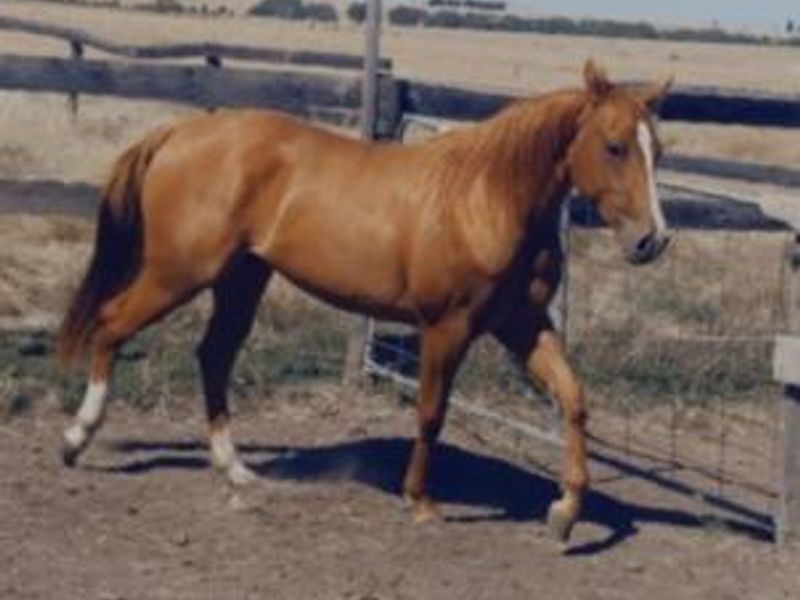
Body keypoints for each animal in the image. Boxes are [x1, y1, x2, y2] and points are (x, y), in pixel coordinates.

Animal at [58, 60, 671, 546]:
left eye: (657, 151)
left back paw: (234, 469)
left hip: (240, 279)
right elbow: (431, 413)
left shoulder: (522, 324)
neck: (487, 197)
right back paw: (76, 439)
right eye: (615, 146)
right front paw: (420, 501)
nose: (653, 241)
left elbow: (573, 399)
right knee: (112, 325)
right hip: (177, 273)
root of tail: (180, 131)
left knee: (213, 355)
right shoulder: (446, 327)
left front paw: (565, 511)